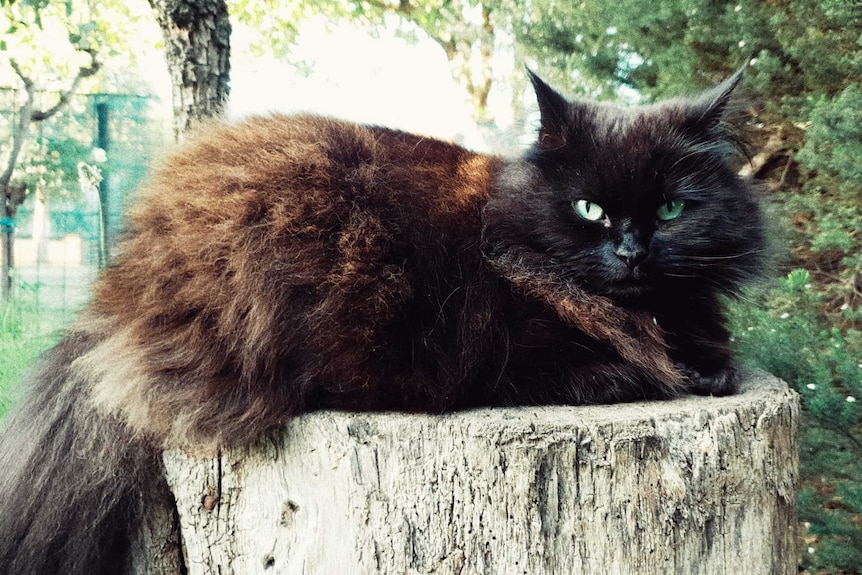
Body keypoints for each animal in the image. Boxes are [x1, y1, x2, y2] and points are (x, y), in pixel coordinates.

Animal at [0, 68, 768, 575]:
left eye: (671, 208)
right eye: (589, 210)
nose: (632, 251)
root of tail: (119, 284)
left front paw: (710, 364)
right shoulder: (499, 338)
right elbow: (592, 363)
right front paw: (657, 372)